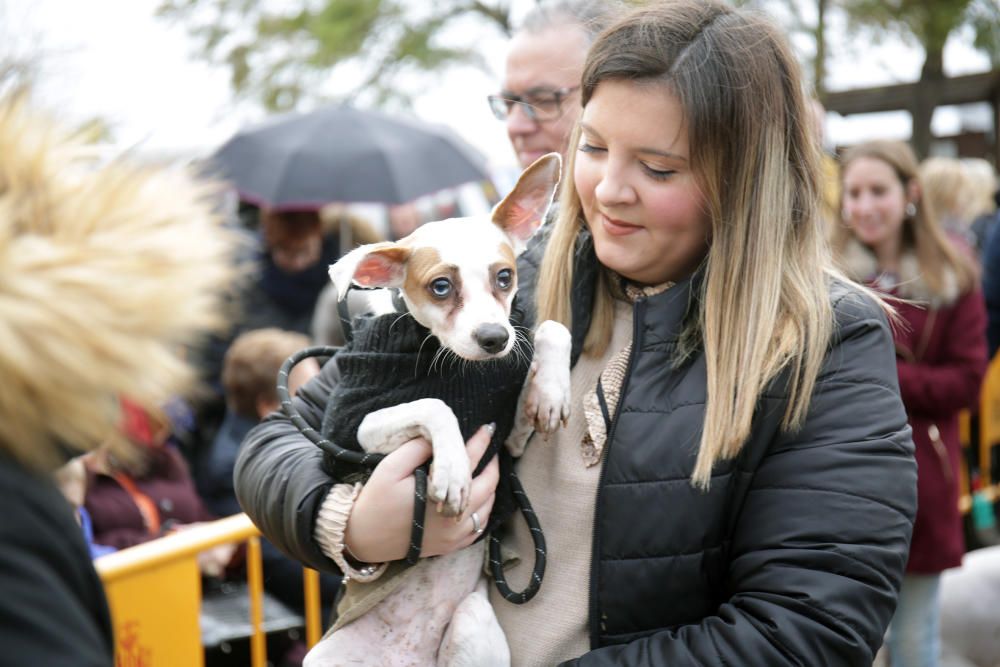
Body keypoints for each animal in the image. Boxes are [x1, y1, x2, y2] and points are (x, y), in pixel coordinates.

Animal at [302, 154, 572, 664]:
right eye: (441, 286)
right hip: (323, 656)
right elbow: (434, 405)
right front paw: (452, 472)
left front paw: (549, 391)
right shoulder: (356, 427)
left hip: (472, 620)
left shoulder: (508, 437)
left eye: (505, 277)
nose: (495, 338)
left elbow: (552, 328)